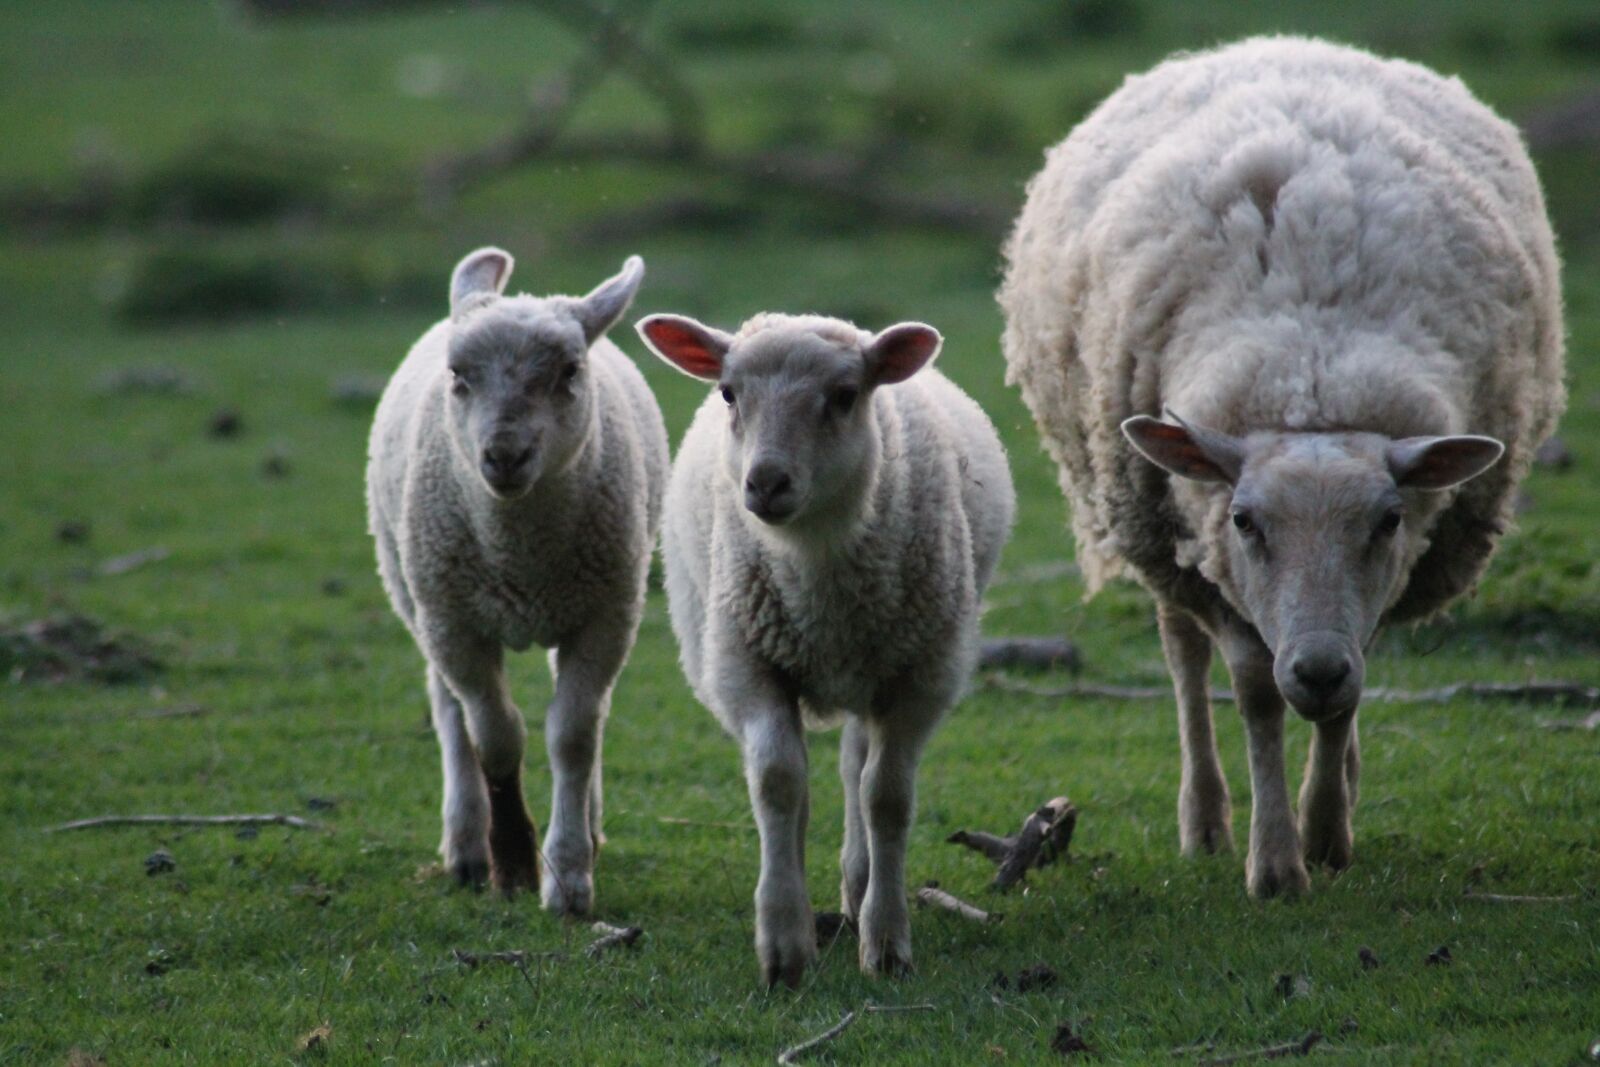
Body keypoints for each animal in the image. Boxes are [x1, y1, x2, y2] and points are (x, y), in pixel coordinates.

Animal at [367, 247, 667, 914]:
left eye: (569, 371)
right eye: (458, 375)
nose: (504, 455)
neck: (520, 555)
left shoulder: (605, 616)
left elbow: (574, 735)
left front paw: (569, 876)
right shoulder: (454, 622)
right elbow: (495, 736)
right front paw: (513, 861)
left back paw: (588, 827)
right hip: (416, 593)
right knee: (450, 713)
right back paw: (466, 847)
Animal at [636, 311, 1015, 986]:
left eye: (844, 396)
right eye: (728, 392)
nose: (765, 482)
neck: (816, 570)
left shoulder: (919, 677)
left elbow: (885, 797)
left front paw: (886, 942)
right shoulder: (747, 666)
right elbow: (777, 782)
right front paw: (784, 946)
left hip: (875, 666)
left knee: (855, 768)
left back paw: (858, 888)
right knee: (805, 783)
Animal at [999, 37, 1566, 898]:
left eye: (1388, 519)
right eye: (1245, 520)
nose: (1319, 667)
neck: (1311, 372)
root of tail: (1271, 42)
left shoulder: (1369, 593)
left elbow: (1343, 702)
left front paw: (1327, 829)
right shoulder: (1216, 557)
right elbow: (1256, 694)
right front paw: (1274, 862)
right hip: (1161, 529)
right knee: (1183, 656)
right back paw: (1204, 819)